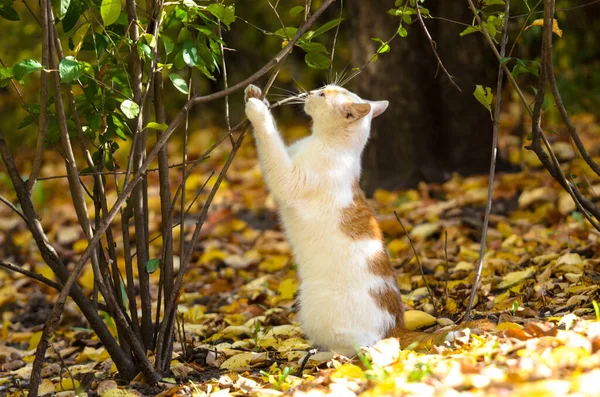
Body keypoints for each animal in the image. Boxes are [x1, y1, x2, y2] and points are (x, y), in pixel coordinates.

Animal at [244, 83, 408, 356]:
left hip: (315, 307)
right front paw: (257, 96)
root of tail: (394, 331)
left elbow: (269, 139)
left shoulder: (288, 179)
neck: (328, 144)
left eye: (322, 95)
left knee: (351, 350)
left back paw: (319, 355)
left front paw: (257, 109)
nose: (310, 92)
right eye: (323, 88)